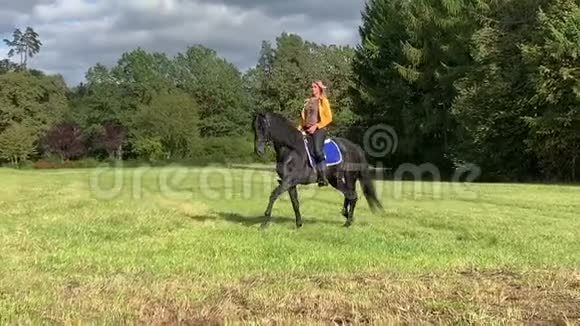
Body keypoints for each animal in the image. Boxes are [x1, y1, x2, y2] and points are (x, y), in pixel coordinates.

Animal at [251, 111, 382, 228]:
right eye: (254, 128)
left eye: (262, 128)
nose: (258, 150)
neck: (291, 150)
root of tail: (355, 147)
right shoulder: (290, 183)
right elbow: (295, 203)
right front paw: (299, 224)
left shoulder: (288, 181)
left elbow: (273, 195)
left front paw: (264, 223)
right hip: (336, 180)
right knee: (349, 195)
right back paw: (347, 216)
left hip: (349, 177)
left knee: (352, 196)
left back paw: (348, 222)